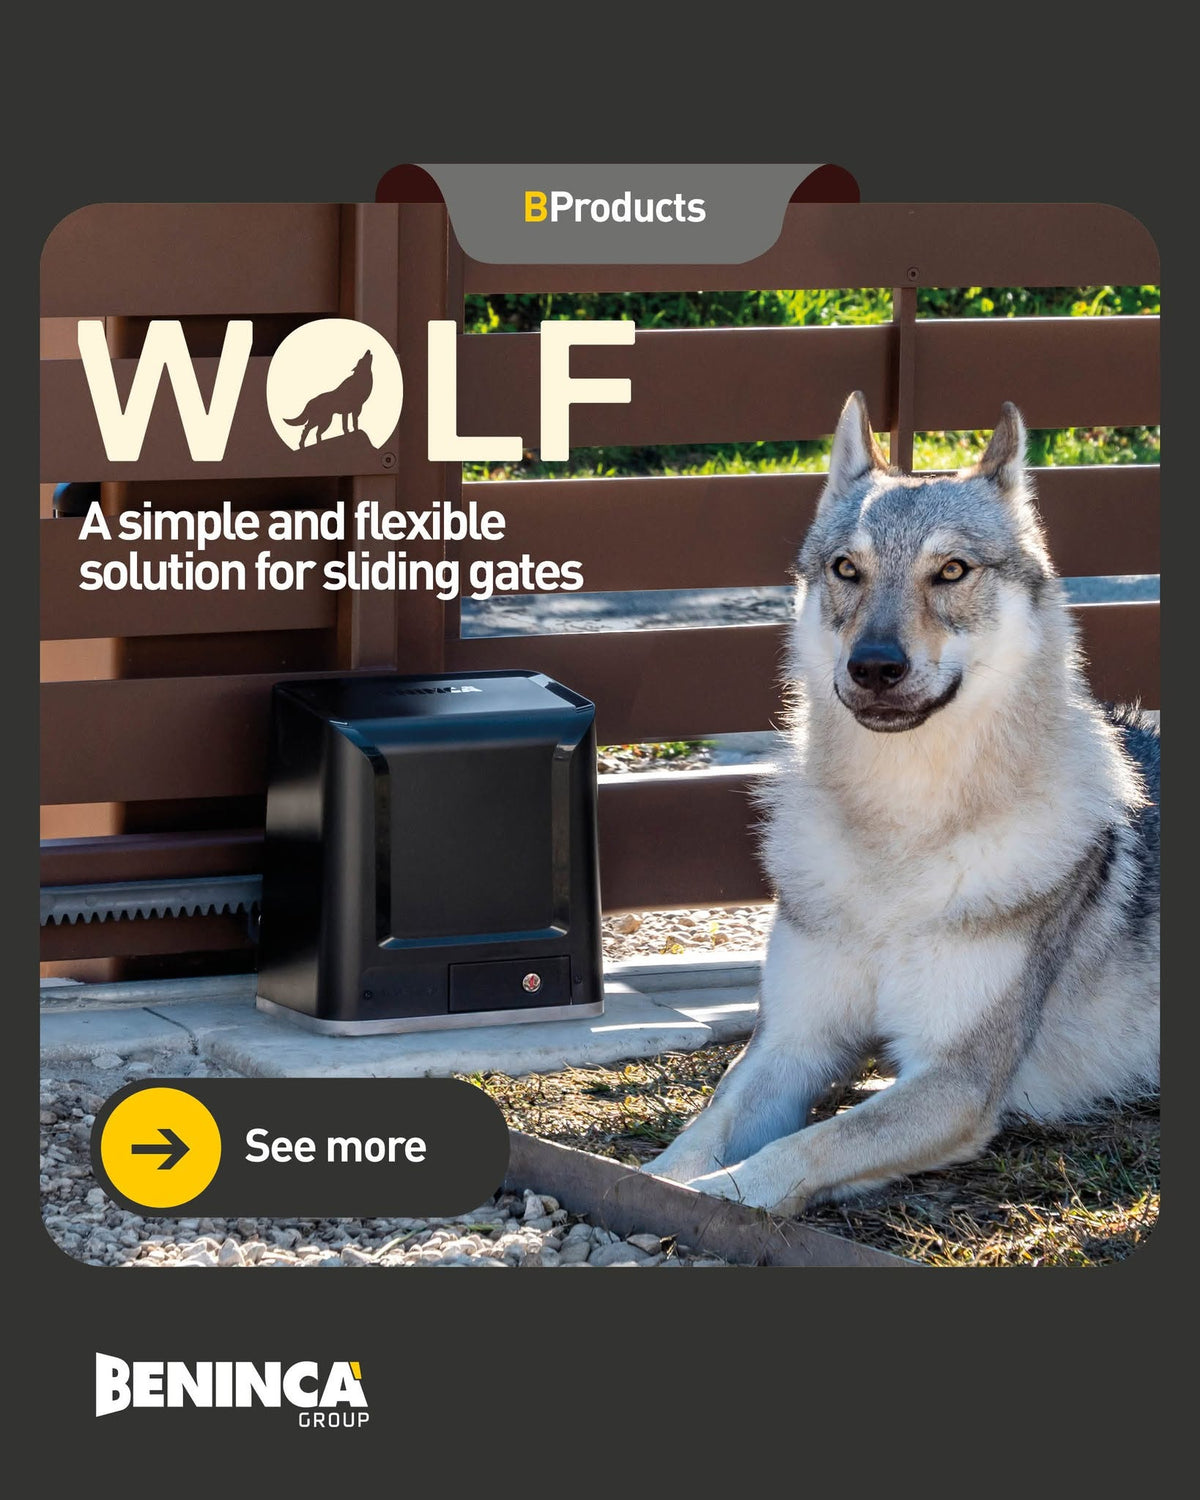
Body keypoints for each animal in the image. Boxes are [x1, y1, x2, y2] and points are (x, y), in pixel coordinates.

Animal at [646, 392, 1159, 1215]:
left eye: (950, 571)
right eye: (846, 570)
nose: (875, 666)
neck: (900, 839)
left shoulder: (956, 1081)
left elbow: (806, 1146)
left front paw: (721, 1198)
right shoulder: (792, 1045)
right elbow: (695, 1140)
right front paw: (655, 1185)